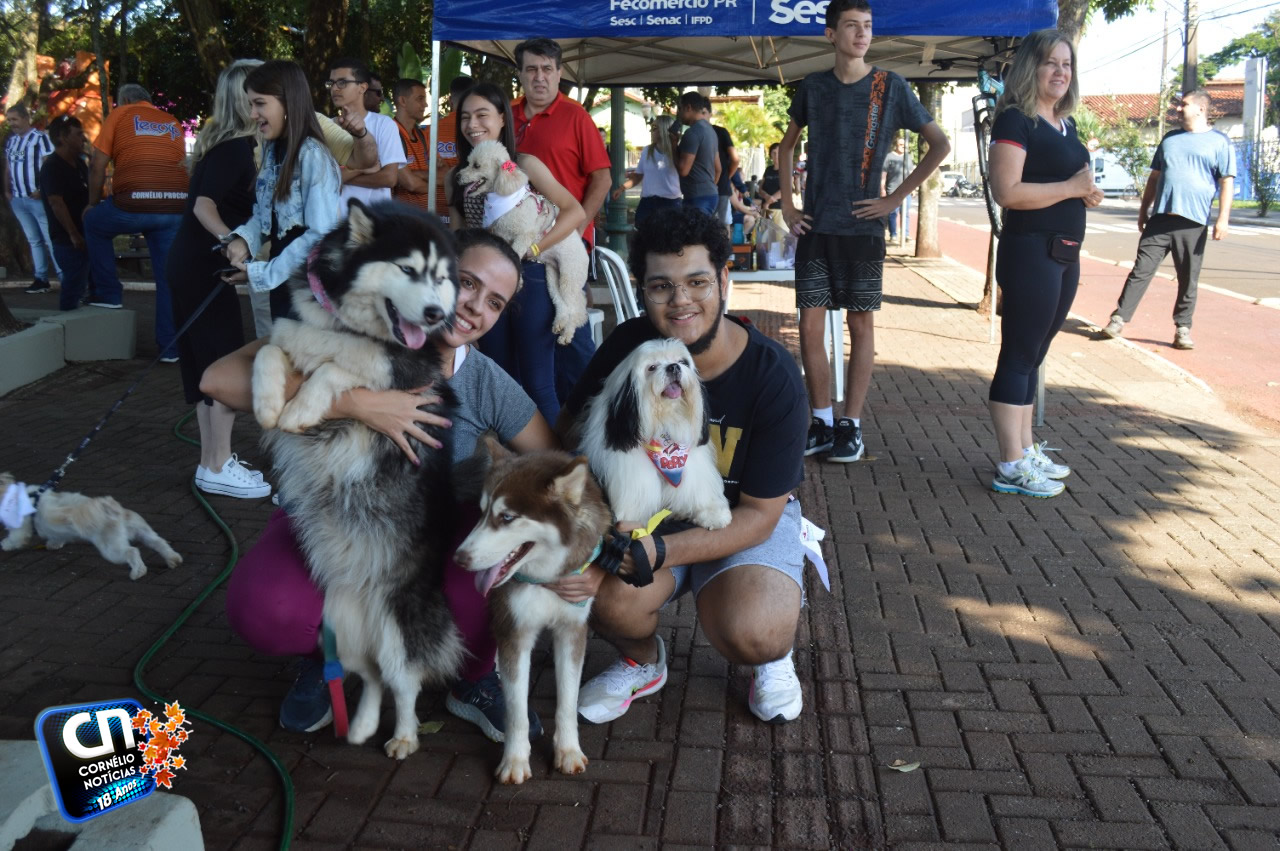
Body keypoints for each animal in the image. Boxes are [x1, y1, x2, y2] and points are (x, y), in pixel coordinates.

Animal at [0, 473, 183, 580]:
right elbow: (56, 536)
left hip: (111, 548)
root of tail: (110, 508)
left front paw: (5, 545)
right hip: (141, 530)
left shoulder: (20, 529)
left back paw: (137, 572)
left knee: (131, 551)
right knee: (159, 542)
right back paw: (173, 559)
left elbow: (14, 539)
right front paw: (54, 543)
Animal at [249, 199, 465, 757]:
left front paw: (301, 408)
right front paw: (267, 404)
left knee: (403, 682)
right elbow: (267, 350)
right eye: (408, 270)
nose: (435, 315)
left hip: (395, 626)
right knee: (370, 678)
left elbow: (340, 367)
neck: (344, 324)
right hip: (341, 628)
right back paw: (363, 725)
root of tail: (363, 588)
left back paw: (404, 737)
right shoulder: (290, 330)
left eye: (441, 278)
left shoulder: (407, 371)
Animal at [453, 440, 611, 788]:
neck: (545, 578)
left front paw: (568, 751)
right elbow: (516, 711)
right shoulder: (513, 631)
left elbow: (568, 701)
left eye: (507, 517)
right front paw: (514, 760)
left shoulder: (571, 630)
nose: (459, 559)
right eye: (482, 512)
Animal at [455, 137, 588, 342]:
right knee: (562, 303)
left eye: (476, 165)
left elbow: (517, 255)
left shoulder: (524, 235)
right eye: (468, 162)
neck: (505, 197)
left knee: (575, 308)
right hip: (552, 276)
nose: (457, 177)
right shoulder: (502, 236)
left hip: (569, 276)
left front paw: (519, 283)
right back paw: (559, 323)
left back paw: (567, 333)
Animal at [578, 337, 732, 532]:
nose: (674, 367)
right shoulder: (630, 469)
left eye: (683, 362)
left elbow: (698, 488)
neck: (665, 423)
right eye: (651, 367)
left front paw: (712, 513)